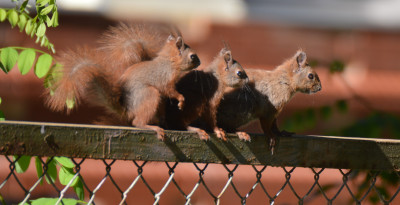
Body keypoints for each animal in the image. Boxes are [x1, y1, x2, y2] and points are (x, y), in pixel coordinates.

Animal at [46, 23, 200, 139]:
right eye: (192, 56)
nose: (200, 62)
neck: (169, 61)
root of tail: (127, 110)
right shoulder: (164, 77)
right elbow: (169, 90)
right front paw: (181, 99)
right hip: (149, 94)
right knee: (138, 122)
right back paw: (153, 127)